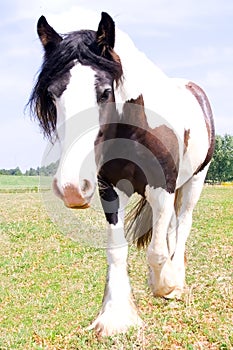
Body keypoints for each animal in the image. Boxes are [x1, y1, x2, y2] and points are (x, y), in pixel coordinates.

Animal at [29, 12, 215, 338]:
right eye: (52, 94)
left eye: (105, 92)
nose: (71, 188)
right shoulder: (111, 188)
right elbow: (117, 250)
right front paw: (115, 316)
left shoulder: (162, 187)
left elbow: (156, 251)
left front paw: (165, 285)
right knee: (168, 227)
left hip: (195, 181)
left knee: (182, 224)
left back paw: (175, 280)